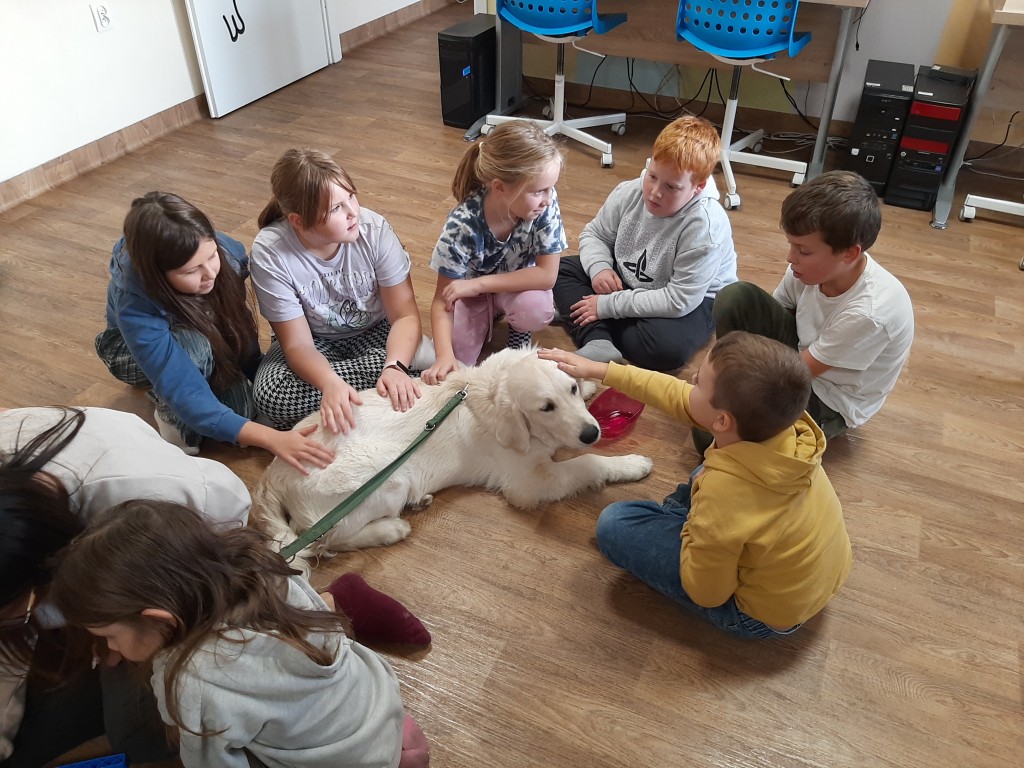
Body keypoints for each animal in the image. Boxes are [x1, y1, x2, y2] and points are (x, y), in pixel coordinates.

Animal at [254, 350, 651, 565]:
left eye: (568, 390)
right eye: (546, 407)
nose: (591, 434)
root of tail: (274, 474)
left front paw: (588, 380)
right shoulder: (528, 483)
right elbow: (586, 463)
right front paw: (631, 464)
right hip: (385, 475)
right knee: (327, 540)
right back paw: (390, 529)